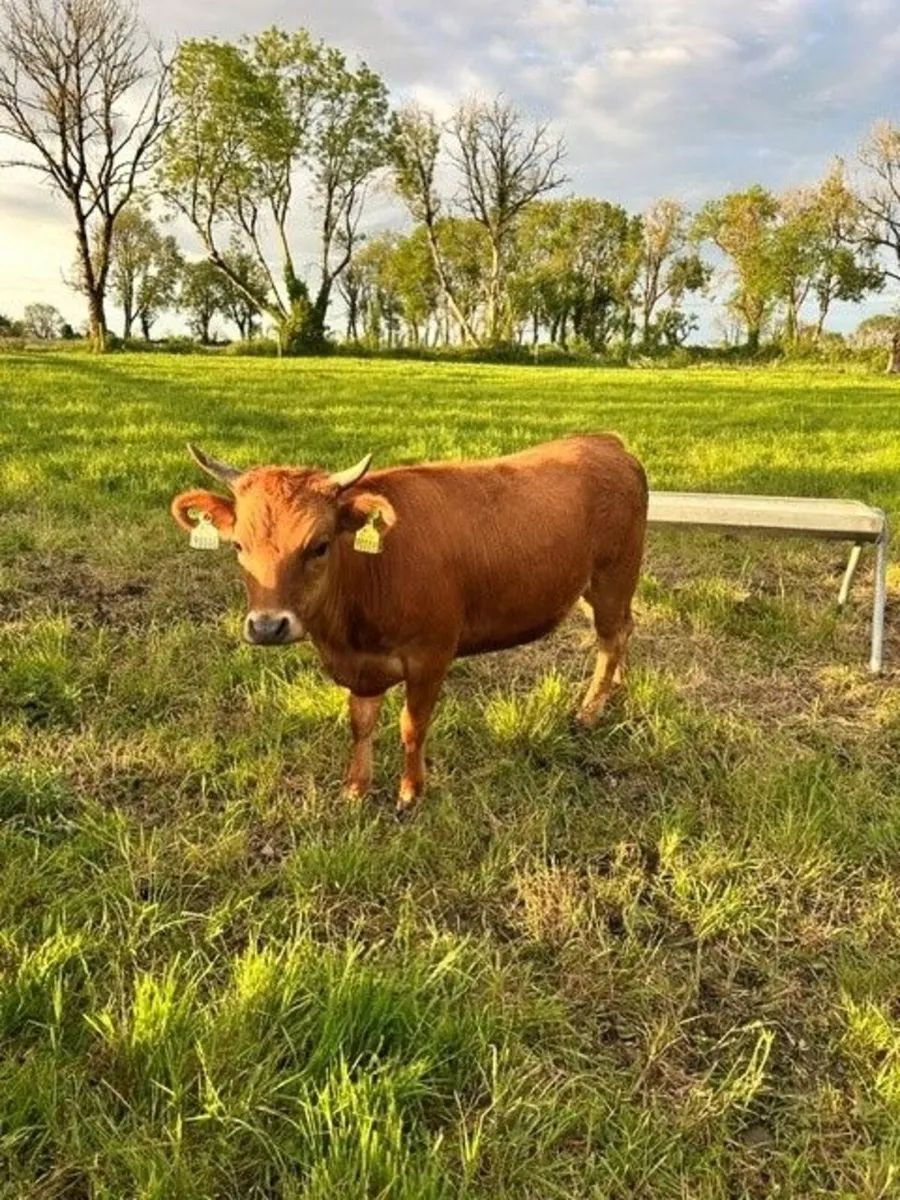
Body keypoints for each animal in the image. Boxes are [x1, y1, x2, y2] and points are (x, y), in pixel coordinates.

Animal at [171, 436, 648, 814]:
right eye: (238, 546)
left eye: (319, 545)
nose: (268, 626)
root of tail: (605, 442)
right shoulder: (362, 668)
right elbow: (360, 724)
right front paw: (355, 788)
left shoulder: (430, 657)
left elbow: (412, 726)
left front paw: (411, 792)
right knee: (623, 633)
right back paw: (615, 689)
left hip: (614, 579)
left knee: (612, 637)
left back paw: (590, 710)